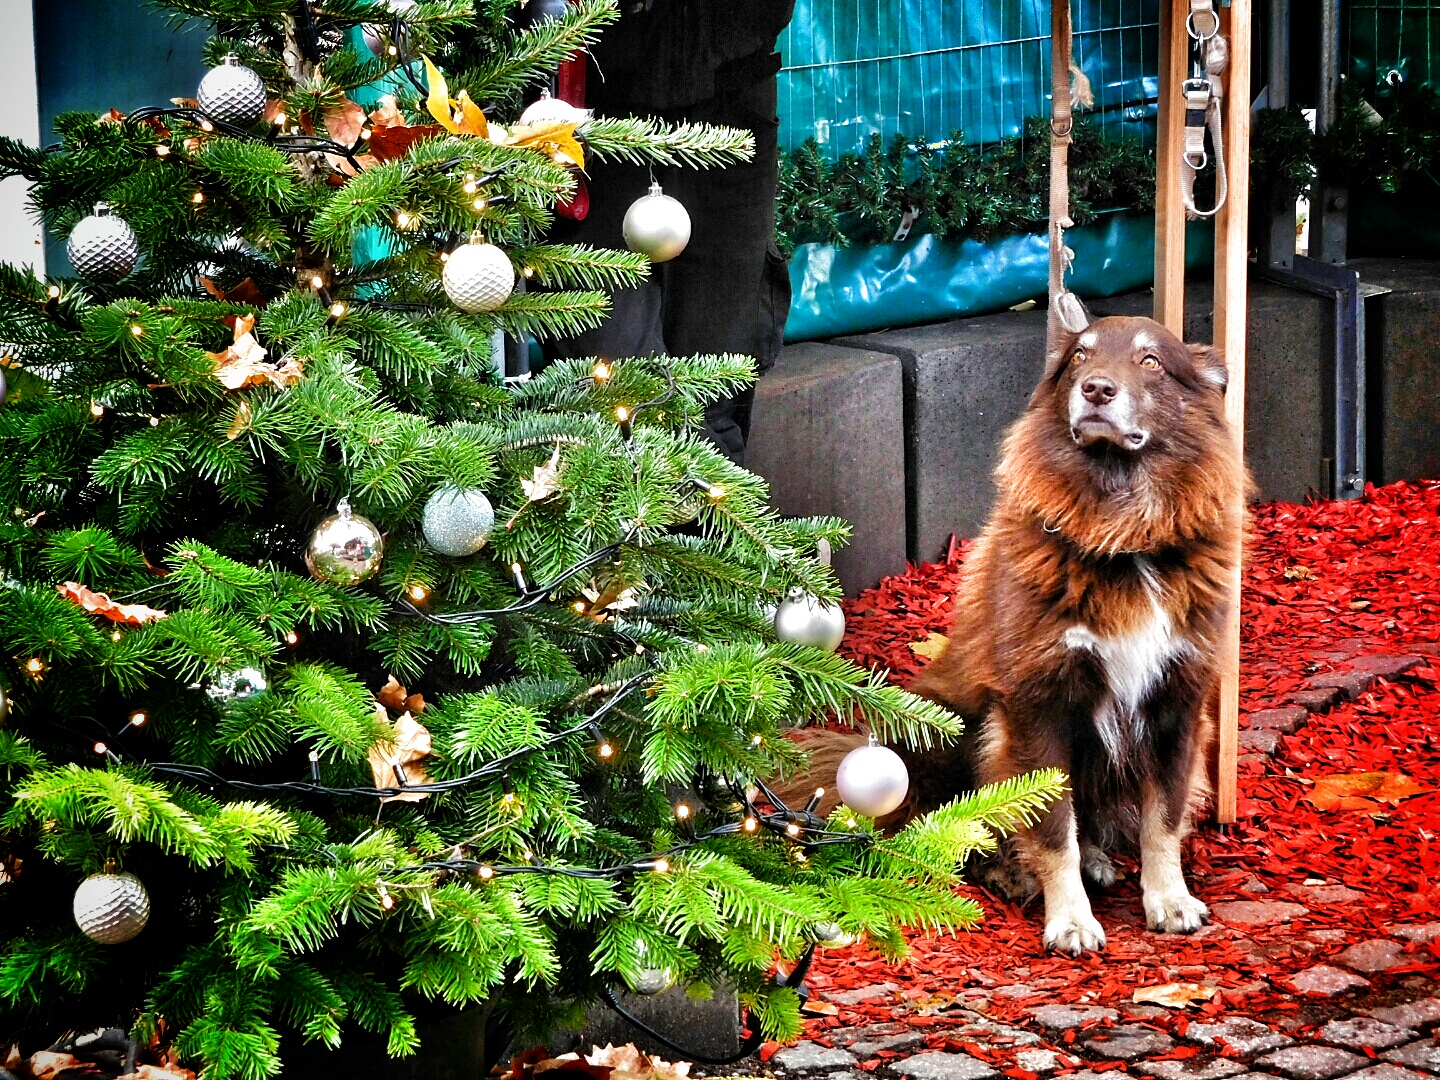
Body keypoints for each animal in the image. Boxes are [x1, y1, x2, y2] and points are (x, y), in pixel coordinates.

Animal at [789, 315, 1249, 956]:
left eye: (1152, 361)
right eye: (1079, 356)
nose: (1097, 389)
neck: (1121, 530)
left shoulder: (1177, 704)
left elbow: (1163, 818)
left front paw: (1169, 899)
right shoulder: (1038, 705)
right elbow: (1053, 829)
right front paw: (1071, 920)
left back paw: (1097, 859)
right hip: (941, 734)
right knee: (942, 833)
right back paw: (1010, 871)